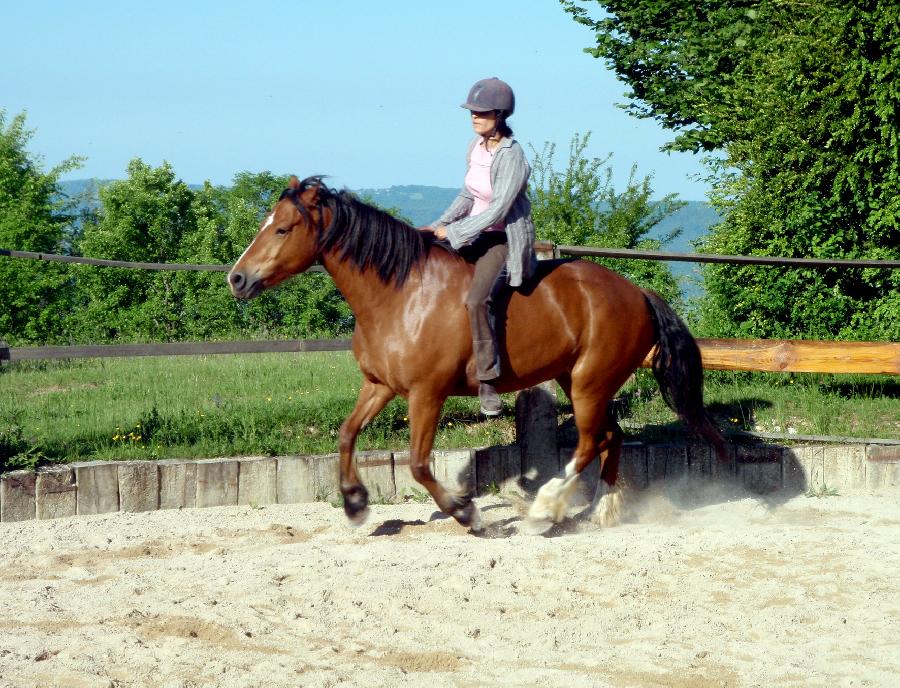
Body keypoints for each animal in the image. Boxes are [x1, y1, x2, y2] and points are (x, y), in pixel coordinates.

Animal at [227, 175, 724, 536]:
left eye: (283, 228)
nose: (237, 278)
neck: (400, 294)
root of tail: (638, 293)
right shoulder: (380, 385)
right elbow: (347, 435)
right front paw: (355, 503)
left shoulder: (426, 394)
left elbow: (418, 464)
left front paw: (468, 514)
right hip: (579, 381)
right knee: (609, 438)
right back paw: (599, 510)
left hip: (589, 383)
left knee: (588, 444)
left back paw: (544, 511)